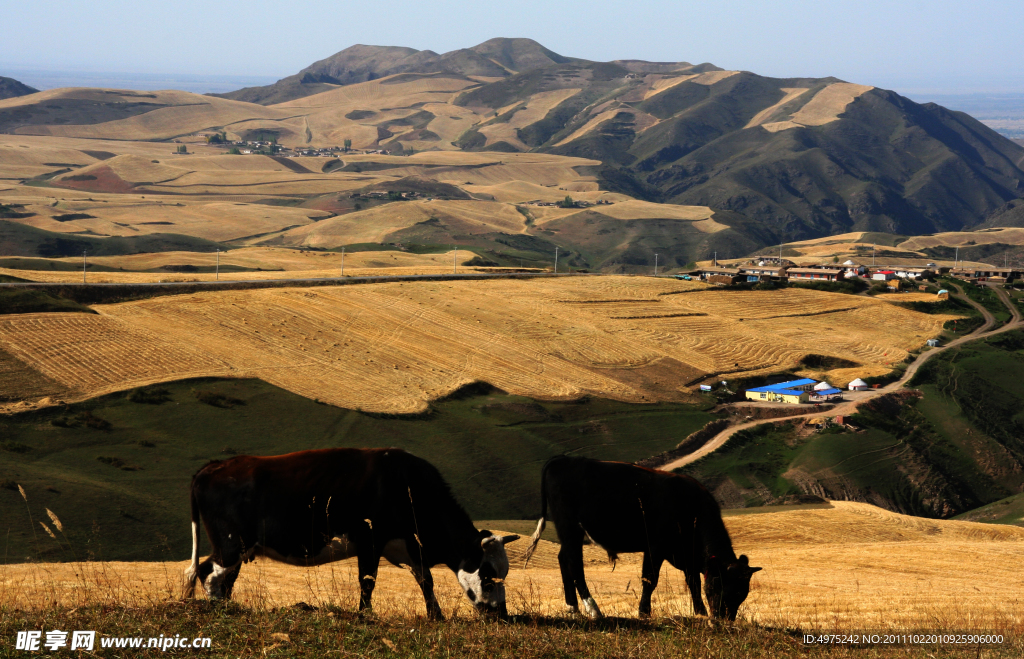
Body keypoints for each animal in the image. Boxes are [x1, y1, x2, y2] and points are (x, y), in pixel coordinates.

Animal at [182, 448, 520, 618]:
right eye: (488, 575)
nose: (501, 614)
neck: (407, 485)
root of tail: (213, 467)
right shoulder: (369, 540)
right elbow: (368, 581)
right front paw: (365, 614)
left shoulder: (410, 546)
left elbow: (426, 581)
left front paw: (436, 616)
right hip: (229, 544)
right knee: (208, 571)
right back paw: (219, 608)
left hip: (240, 548)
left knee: (223, 577)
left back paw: (229, 606)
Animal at [528, 456, 761, 622]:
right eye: (721, 584)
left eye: (742, 592)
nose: (725, 619)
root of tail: (562, 459)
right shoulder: (655, 548)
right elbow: (650, 580)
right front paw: (644, 612)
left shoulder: (687, 556)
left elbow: (693, 582)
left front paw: (700, 612)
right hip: (570, 527)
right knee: (575, 564)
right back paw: (593, 609)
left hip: (567, 532)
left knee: (563, 559)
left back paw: (573, 608)